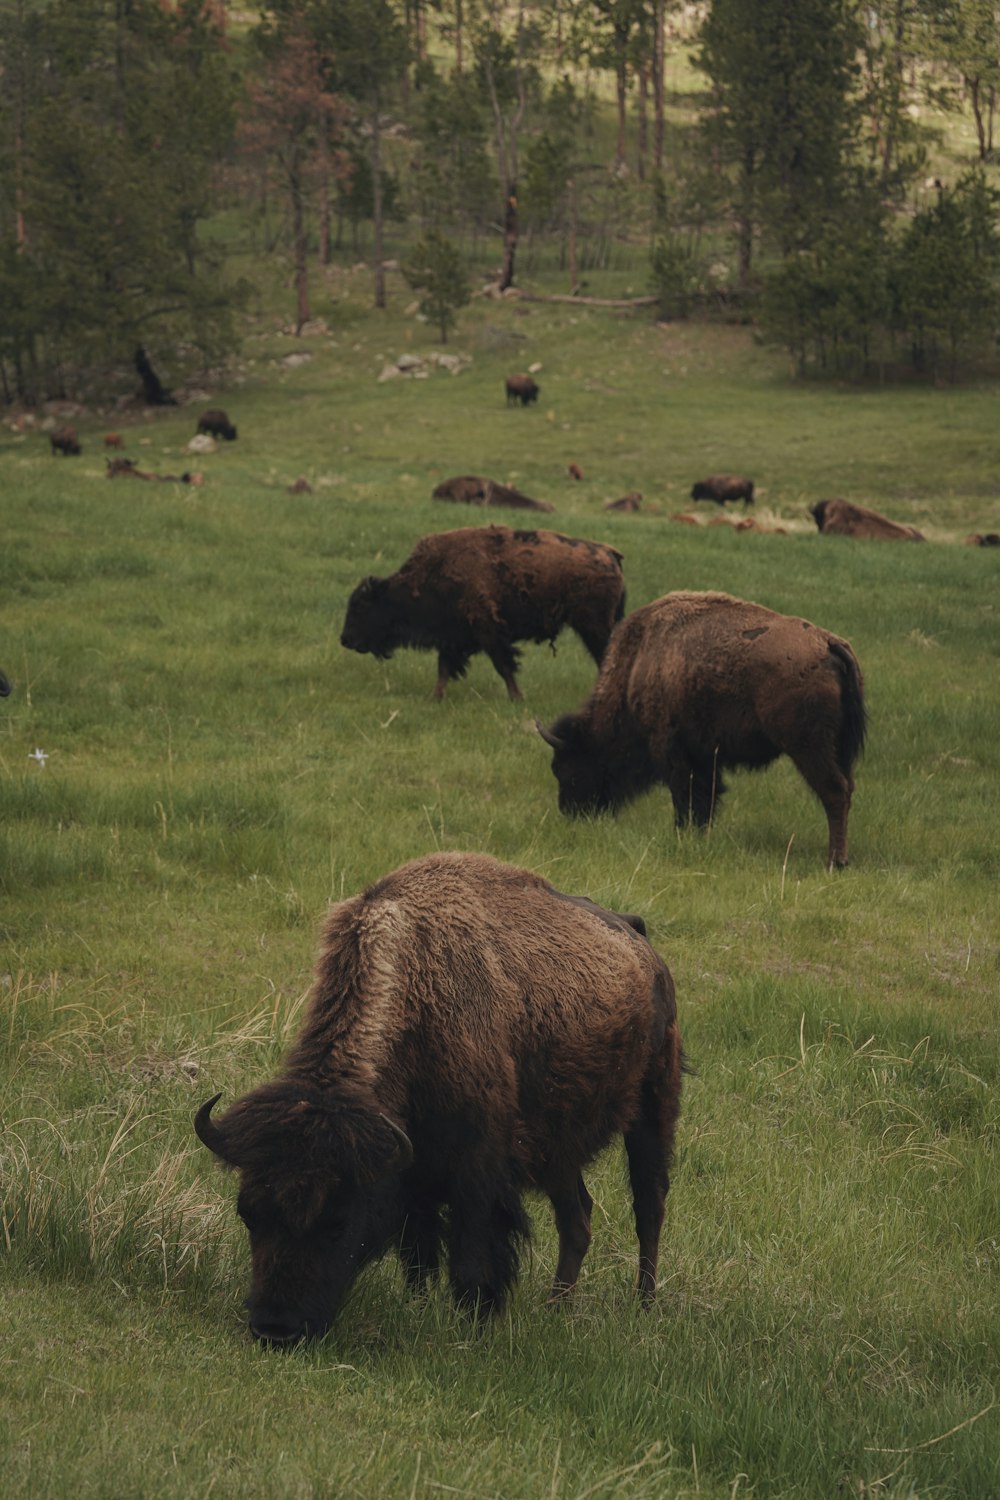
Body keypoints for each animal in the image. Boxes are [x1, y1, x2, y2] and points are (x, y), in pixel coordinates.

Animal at [193, 858, 683, 1350]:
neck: (416, 995)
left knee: (649, 1204)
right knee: (577, 1217)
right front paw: (418, 1306)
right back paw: (556, 1308)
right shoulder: (412, 1172)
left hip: (653, 1104)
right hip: (558, 1148)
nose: (275, 1329)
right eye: (248, 1214)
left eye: (337, 1220)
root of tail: (641, 942)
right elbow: (419, 1253)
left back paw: (643, 1305)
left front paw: (472, 1325)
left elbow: (471, 1255)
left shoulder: (477, 1169)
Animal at [344, 525, 626, 699]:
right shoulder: (451, 637)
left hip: (594, 627)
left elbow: (504, 665)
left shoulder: (488, 631)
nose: (344, 639)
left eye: (359, 606)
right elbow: (443, 668)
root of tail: (609, 554)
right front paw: (435, 697)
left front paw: (517, 698)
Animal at [539, 585, 869, 870]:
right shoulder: (706, 754)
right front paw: (699, 835)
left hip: (807, 747)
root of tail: (828, 644)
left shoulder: (671, 749)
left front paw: (681, 833)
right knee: (847, 789)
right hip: (839, 748)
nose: (570, 812)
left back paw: (835, 861)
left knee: (834, 791)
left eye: (566, 767)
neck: (637, 663)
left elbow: (684, 794)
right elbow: (705, 796)